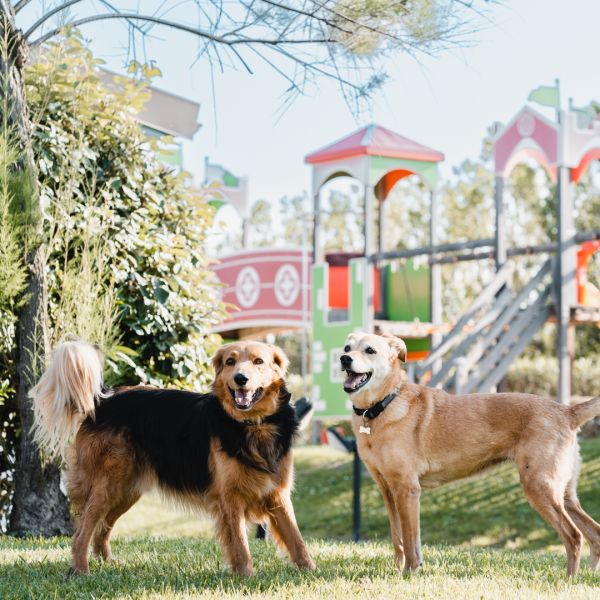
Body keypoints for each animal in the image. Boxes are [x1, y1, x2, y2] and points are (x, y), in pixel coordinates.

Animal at [31, 340, 314, 576]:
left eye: (258, 361)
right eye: (230, 362)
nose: (240, 378)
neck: (254, 425)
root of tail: (105, 398)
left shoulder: (277, 494)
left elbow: (296, 538)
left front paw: (310, 571)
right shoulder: (229, 498)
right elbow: (240, 545)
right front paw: (245, 576)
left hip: (126, 490)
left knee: (101, 529)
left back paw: (107, 563)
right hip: (107, 484)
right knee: (82, 531)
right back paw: (81, 570)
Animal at [340, 332, 600, 576]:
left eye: (370, 350)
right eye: (347, 347)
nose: (344, 358)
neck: (381, 407)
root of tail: (566, 410)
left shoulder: (407, 489)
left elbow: (410, 539)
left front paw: (408, 574)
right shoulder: (387, 489)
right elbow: (398, 538)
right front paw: (398, 570)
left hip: (539, 486)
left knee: (574, 536)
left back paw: (568, 580)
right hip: (564, 493)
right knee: (594, 534)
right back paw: (587, 575)